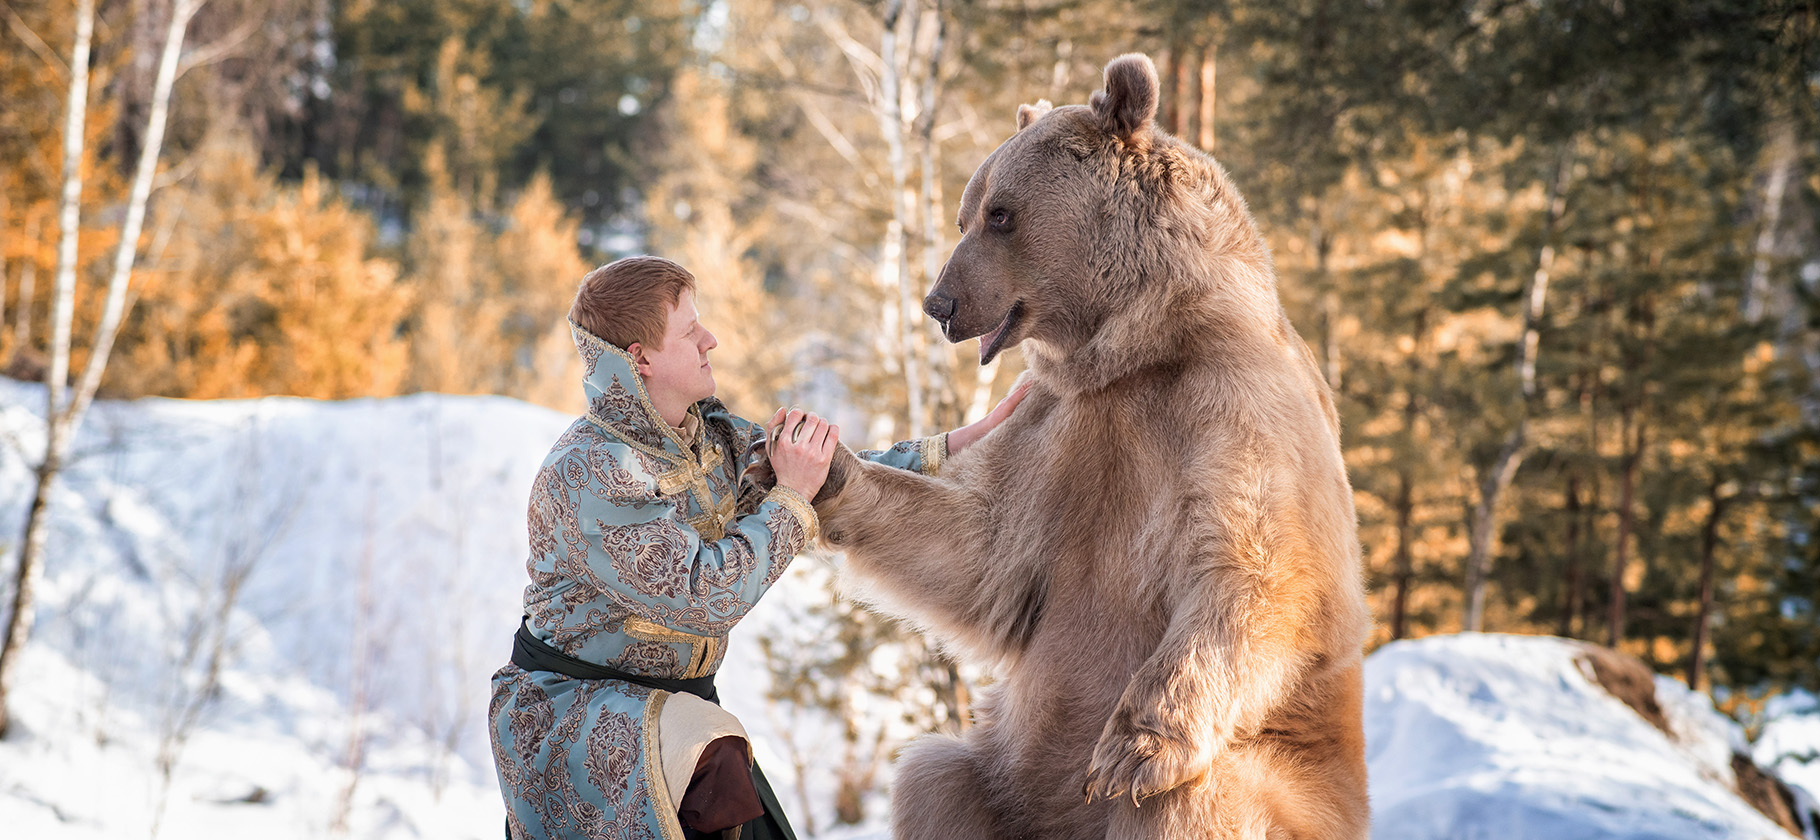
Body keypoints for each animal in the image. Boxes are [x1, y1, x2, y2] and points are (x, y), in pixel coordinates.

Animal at [811, 54, 1368, 840]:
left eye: (1000, 213)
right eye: (965, 213)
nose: (940, 304)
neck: (1134, 348)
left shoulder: (1235, 409)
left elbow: (1259, 563)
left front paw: (1134, 751)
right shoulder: (1061, 431)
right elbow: (979, 546)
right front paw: (831, 469)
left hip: (1293, 784)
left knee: (1193, 802)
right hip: (1002, 775)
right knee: (931, 775)